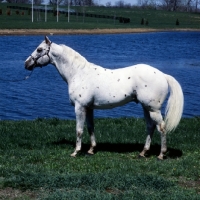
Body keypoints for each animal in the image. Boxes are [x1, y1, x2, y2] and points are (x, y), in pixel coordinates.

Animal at [24, 36, 184, 160]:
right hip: (146, 108)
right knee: (150, 127)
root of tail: (163, 75)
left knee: (161, 127)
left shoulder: (80, 107)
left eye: (39, 49)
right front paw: (91, 150)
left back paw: (161, 155)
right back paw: (143, 153)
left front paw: (76, 152)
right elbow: (90, 127)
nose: (26, 64)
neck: (78, 73)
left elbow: (79, 130)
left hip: (153, 109)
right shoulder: (89, 108)